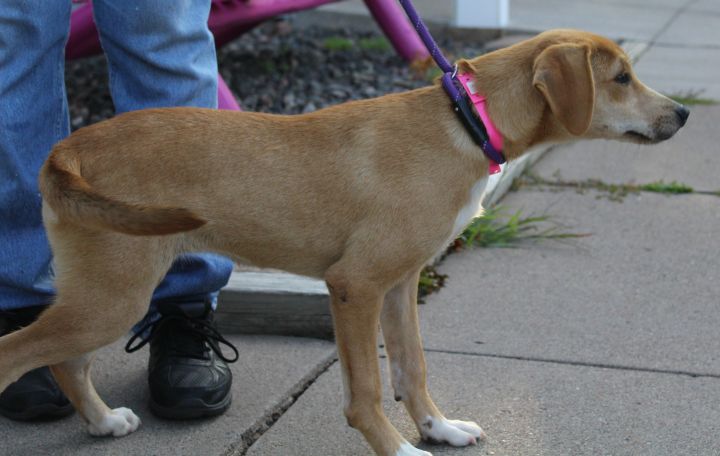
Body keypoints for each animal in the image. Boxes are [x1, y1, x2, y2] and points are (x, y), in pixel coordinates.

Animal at [0, 30, 688, 454]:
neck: (466, 122)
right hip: (114, 294)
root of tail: (68, 149)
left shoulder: (402, 283)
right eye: (621, 78)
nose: (682, 114)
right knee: (20, 353)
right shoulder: (355, 286)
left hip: (103, 292)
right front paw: (400, 448)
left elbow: (412, 367)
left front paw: (439, 429)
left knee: (66, 360)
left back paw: (101, 422)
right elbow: (367, 391)